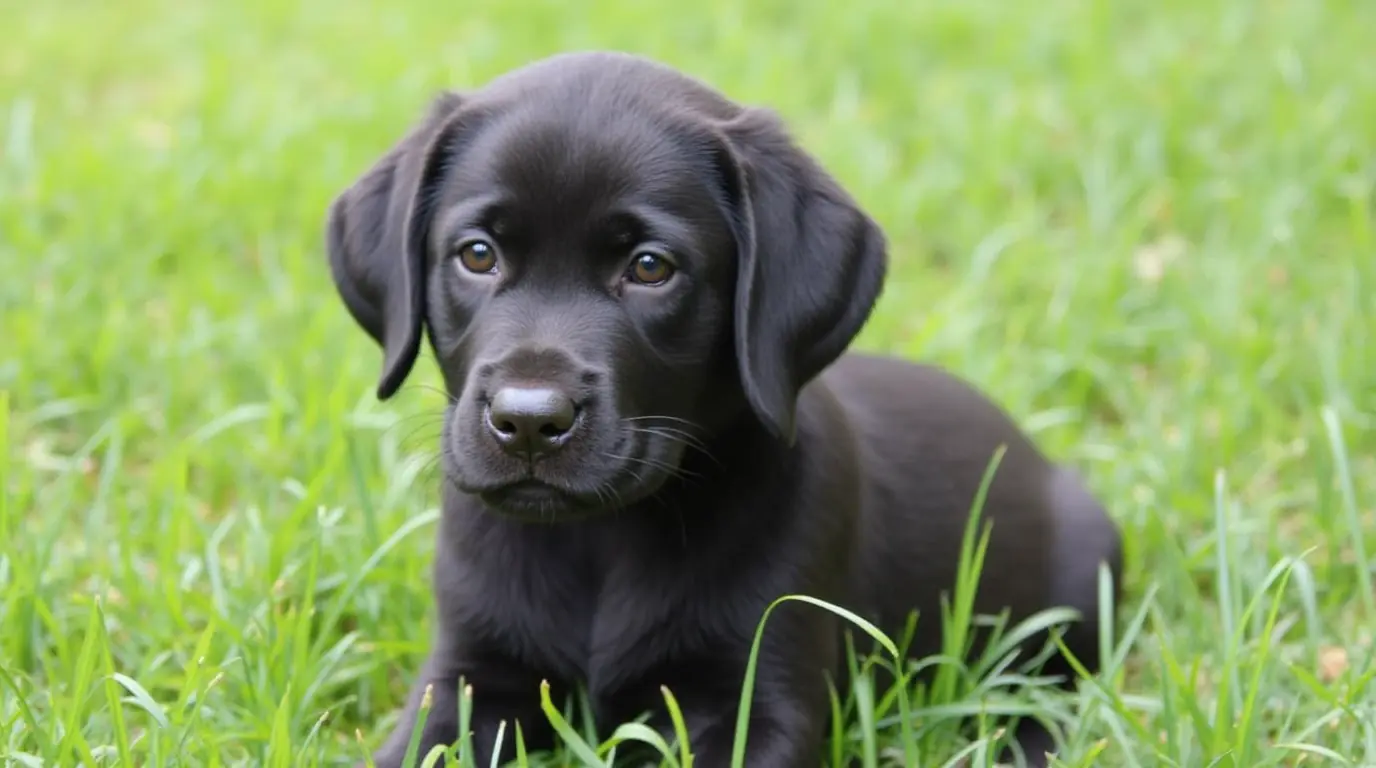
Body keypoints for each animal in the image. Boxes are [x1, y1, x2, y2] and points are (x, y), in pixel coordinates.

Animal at [327, 51, 1122, 765]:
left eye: (650, 267)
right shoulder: (466, 679)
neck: (599, 541)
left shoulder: (755, 699)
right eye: (477, 255)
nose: (527, 421)